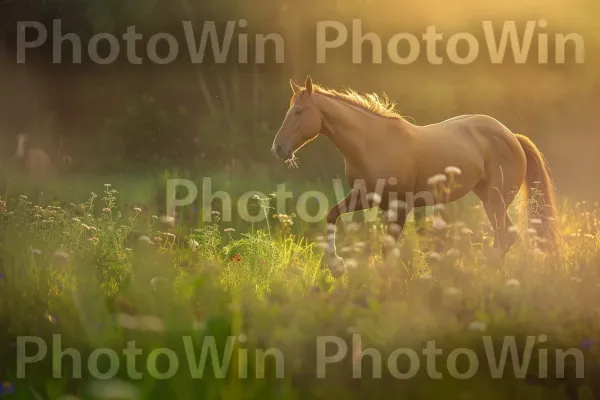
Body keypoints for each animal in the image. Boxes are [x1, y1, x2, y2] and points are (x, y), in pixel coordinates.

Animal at [270, 75, 556, 276]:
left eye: (299, 111)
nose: (278, 148)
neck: (372, 143)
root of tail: (513, 137)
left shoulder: (400, 205)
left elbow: (388, 248)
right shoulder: (365, 196)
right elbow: (332, 214)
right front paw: (337, 267)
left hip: (496, 200)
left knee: (505, 237)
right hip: (488, 198)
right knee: (507, 236)